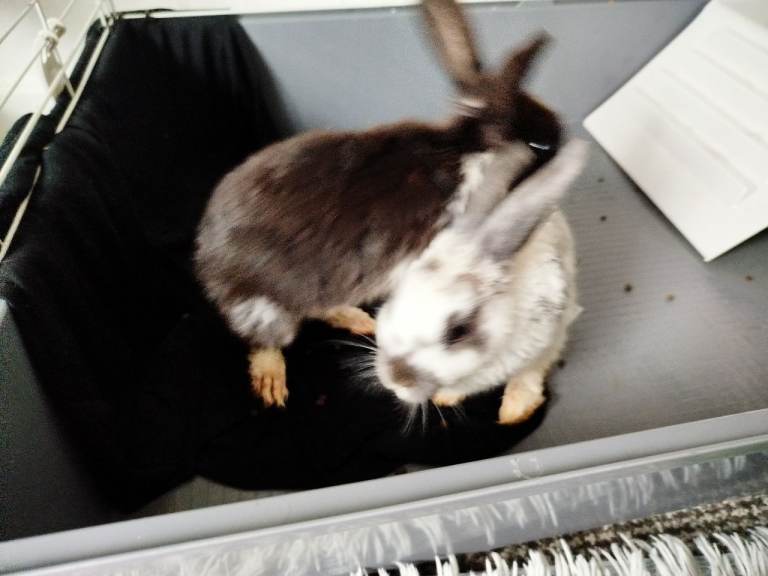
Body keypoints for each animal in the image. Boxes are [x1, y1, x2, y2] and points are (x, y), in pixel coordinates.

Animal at [194, 0, 563, 408]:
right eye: (540, 145)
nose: (563, 138)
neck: (468, 150)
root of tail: (204, 259)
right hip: (264, 309)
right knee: (264, 342)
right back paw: (271, 382)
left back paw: (358, 321)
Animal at [375, 140, 587, 425]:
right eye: (395, 297)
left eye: (458, 331)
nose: (395, 380)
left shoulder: (544, 342)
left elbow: (532, 371)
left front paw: (514, 407)